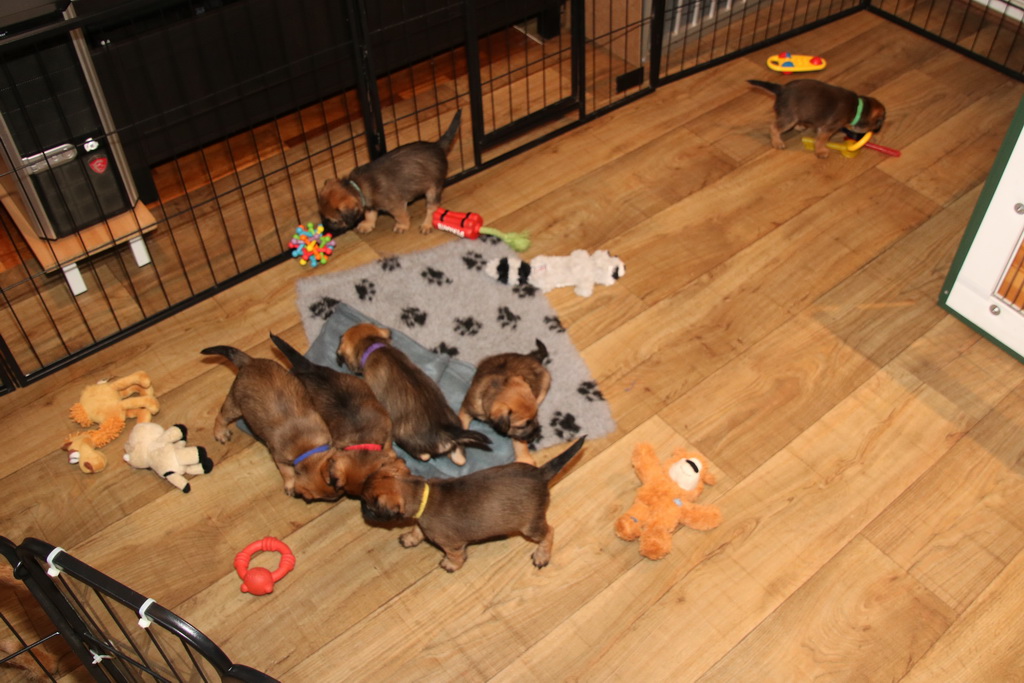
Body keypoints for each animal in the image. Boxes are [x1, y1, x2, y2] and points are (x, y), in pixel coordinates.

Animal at [201, 344, 337, 499]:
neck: (307, 448)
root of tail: (249, 362)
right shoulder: (279, 458)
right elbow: (287, 473)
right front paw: (290, 485)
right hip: (235, 405)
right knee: (221, 416)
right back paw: (220, 433)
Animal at [318, 110, 462, 235]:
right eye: (322, 216)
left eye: (333, 221)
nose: (325, 229)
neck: (358, 187)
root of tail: (437, 146)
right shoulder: (370, 204)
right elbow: (370, 214)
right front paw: (367, 225)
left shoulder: (396, 205)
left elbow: (401, 216)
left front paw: (402, 226)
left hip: (433, 189)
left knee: (432, 207)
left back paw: (426, 224)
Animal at [337, 322, 491, 466]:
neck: (373, 345)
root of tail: (447, 431)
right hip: (457, 444)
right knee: (460, 460)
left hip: (403, 435)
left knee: (425, 456)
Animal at [362, 436, 586, 572]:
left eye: (369, 506)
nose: (362, 510)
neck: (420, 493)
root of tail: (540, 474)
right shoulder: (420, 521)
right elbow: (417, 529)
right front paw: (410, 538)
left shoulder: (452, 544)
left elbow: (455, 555)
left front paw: (451, 564)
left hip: (531, 526)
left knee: (549, 532)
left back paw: (542, 555)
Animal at [748, 79, 886, 158]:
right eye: (878, 123)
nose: (878, 130)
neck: (858, 108)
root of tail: (781, 88)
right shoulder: (828, 128)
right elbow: (820, 140)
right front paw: (820, 152)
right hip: (789, 117)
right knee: (774, 127)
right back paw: (777, 142)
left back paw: (799, 126)